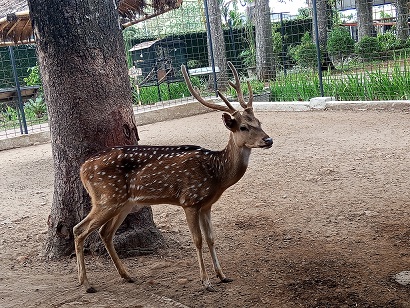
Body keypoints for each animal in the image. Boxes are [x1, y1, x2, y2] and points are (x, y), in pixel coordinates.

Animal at [73, 61, 272, 292]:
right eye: (243, 127)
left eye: (259, 121)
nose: (269, 140)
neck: (216, 174)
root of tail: (82, 168)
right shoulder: (190, 200)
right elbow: (197, 240)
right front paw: (205, 281)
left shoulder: (207, 204)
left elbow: (211, 238)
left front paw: (222, 276)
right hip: (106, 198)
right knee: (79, 229)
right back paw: (86, 283)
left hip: (124, 203)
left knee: (105, 232)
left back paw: (127, 275)